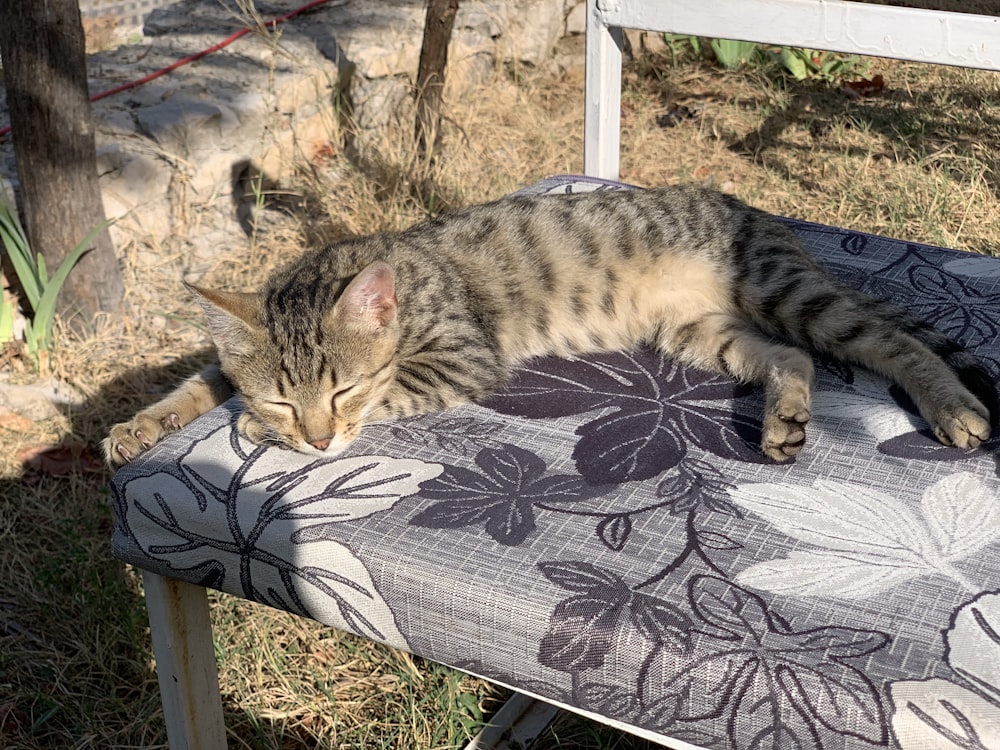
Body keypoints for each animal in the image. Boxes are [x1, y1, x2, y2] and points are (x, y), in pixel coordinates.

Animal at [105, 185, 996, 468]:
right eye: (289, 396)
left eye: (345, 389)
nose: (317, 440)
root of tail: (750, 206)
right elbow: (204, 379)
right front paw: (140, 423)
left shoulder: (462, 357)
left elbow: (396, 393)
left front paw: (259, 433)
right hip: (701, 331)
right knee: (791, 360)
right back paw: (783, 418)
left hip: (787, 291)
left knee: (894, 340)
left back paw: (954, 409)